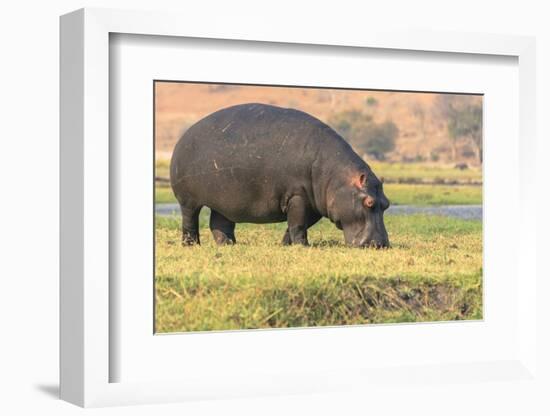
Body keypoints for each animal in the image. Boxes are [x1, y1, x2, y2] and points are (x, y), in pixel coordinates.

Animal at [170, 103, 390, 249]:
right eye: (369, 202)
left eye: (386, 204)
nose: (381, 245)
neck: (336, 176)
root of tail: (184, 135)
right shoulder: (297, 196)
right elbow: (298, 224)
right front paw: (303, 246)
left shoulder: (314, 204)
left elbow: (298, 224)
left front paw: (286, 245)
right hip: (188, 200)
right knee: (190, 220)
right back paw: (191, 245)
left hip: (224, 200)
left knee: (219, 222)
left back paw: (228, 244)